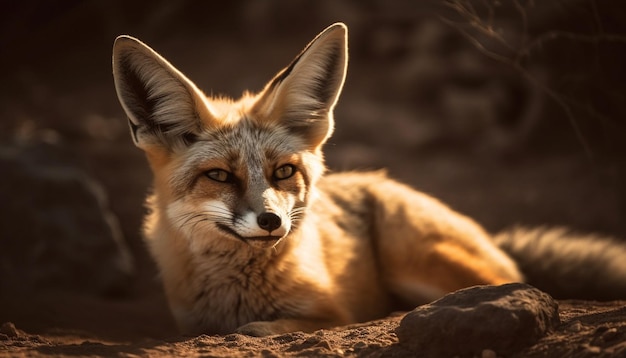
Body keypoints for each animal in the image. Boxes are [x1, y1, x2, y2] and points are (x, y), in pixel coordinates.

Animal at [111, 23, 624, 338]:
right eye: (218, 175)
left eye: (283, 171)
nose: (272, 221)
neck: (239, 293)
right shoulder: (188, 320)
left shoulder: (335, 312)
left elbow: (276, 327)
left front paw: (259, 328)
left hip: (418, 259)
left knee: (515, 286)